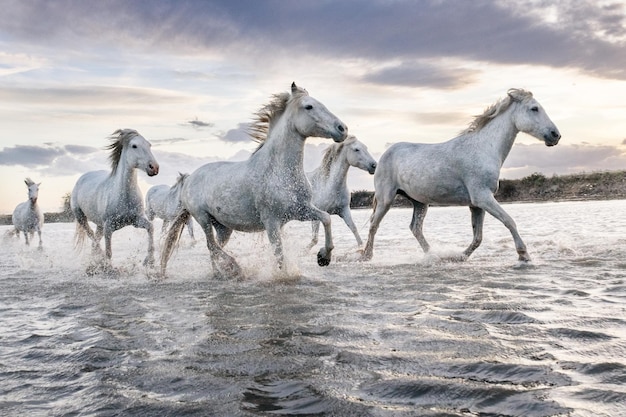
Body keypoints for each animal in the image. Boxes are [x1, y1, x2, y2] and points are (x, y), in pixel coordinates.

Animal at [70, 128, 161, 266]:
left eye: (149, 145)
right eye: (134, 146)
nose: (154, 167)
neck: (124, 196)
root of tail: (82, 178)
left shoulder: (136, 220)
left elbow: (150, 227)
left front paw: (149, 260)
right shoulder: (108, 227)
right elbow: (109, 252)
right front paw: (107, 265)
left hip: (100, 225)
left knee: (95, 239)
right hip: (81, 217)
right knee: (91, 236)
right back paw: (99, 257)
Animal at [160, 82, 346, 276]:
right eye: (309, 106)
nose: (342, 129)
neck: (279, 171)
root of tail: (189, 179)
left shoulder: (300, 210)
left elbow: (326, 218)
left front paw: (324, 257)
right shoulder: (271, 221)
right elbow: (279, 254)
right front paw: (284, 276)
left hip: (223, 227)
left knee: (214, 247)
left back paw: (220, 273)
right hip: (202, 218)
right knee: (211, 245)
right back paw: (234, 267)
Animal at [360, 89, 560, 262]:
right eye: (534, 108)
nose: (555, 135)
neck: (484, 148)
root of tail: (384, 155)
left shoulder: (477, 204)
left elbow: (478, 237)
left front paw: (459, 257)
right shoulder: (483, 197)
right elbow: (509, 221)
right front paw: (524, 255)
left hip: (419, 202)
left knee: (415, 228)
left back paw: (432, 255)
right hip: (386, 198)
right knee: (374, 225)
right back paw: (366, 256)